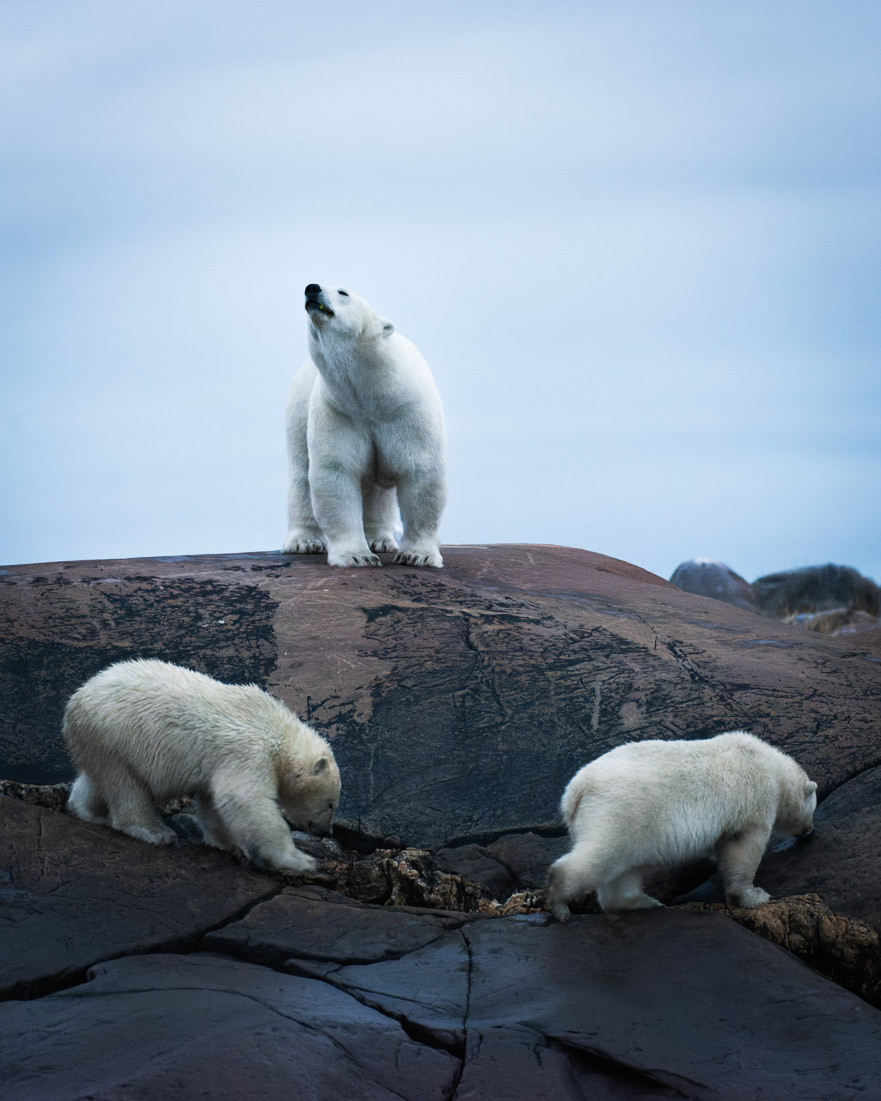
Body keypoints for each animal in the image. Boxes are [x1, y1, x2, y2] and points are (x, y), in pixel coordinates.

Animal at [62, 658, 341, 875]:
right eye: (330, 804)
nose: (326, 831)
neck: (279, 733)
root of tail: (75, 702)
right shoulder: (251, 753)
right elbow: (245, 801)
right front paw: (300, 860)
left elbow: (213, 802)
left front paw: (228, 844)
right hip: (115, 734)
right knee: (127, 786)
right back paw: (154, 831)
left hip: (100, 742)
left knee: (101, 777)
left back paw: (87, 811)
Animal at [282, 283, 447, 568]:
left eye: (343, 292)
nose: (311, 288)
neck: (373, 392)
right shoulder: (340, 411)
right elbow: (337, 472)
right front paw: (357, 556)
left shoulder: (408, 411)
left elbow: (420, 472)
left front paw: (418, 555)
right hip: (299, 409)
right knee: (301, 472)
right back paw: (304, 541)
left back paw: (380, 539)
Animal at [546, 730, 817, 919]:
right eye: (812, 807)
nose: (809, 831)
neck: (770, 765)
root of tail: (575, 791)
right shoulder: (755, 801)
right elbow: (744, 848)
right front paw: (754, 896)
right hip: (618, 812)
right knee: (600, 856)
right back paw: (560, 904)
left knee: (622, 871)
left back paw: (643, 902)